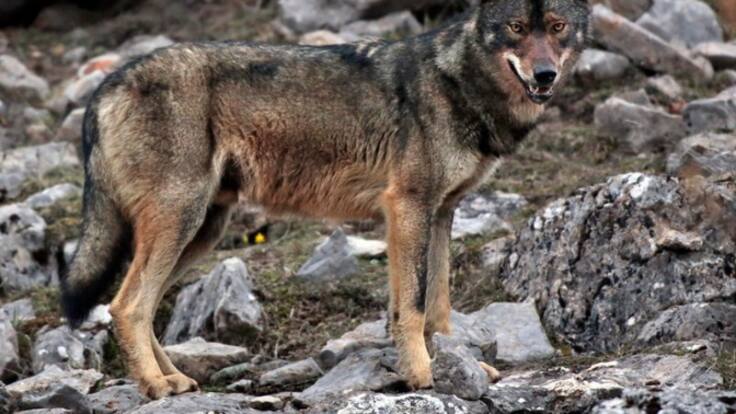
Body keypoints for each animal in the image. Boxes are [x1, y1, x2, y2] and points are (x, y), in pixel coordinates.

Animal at [60, 0, 589, 399]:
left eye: (557, 27)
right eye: (516, 28)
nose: (544, 75)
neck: (458, 82)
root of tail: (106, 86)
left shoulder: (441, 213)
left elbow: (437, 305)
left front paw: (460, 365)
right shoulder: (408, 207)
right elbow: (413, 306)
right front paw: (422, 374)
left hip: (201, 230)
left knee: (144, 308)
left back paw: (173, 379)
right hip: (181, 222)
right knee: (126, 306)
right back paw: (155, 386)